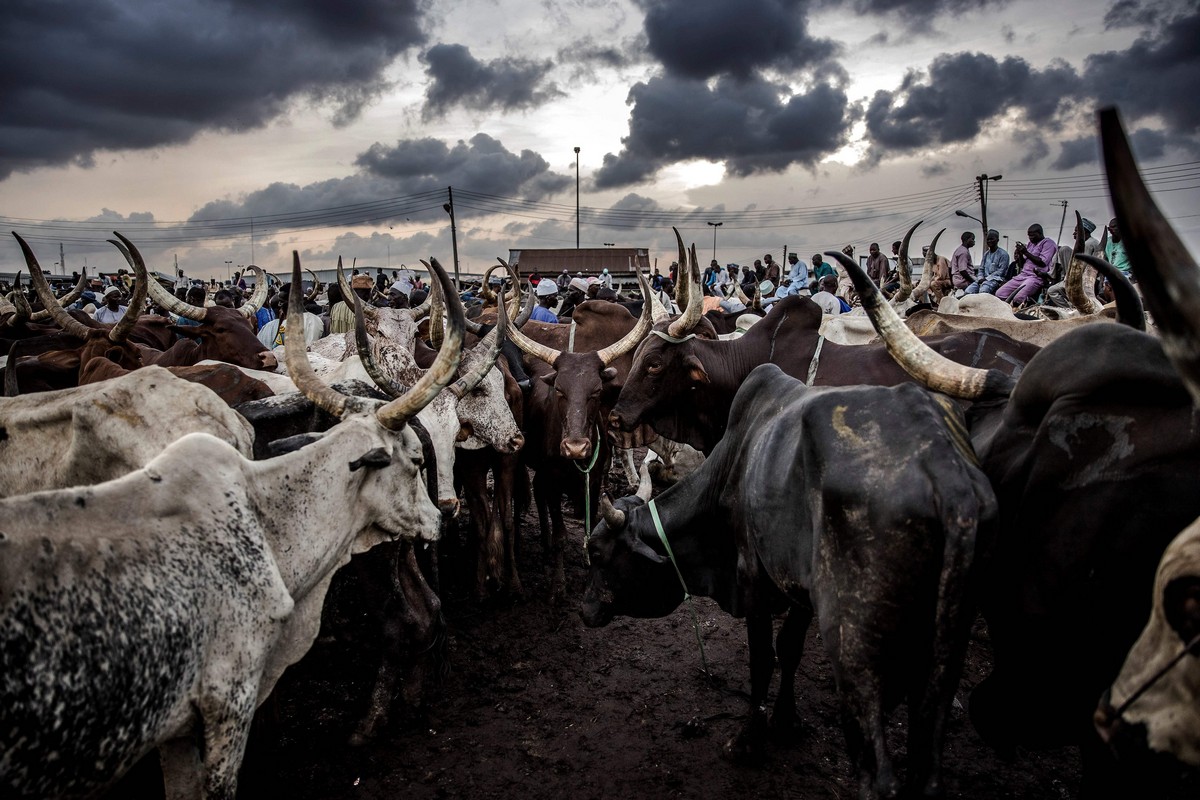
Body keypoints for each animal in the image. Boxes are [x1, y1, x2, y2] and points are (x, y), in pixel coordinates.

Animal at [580, 367, 993, 800]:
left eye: (598, 554)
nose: (585, 610)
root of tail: (949, 479)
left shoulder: (752, 581)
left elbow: (763, 660)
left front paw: (747, 742)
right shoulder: (798, 590)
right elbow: (790, 649)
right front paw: (787, 721)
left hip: (856, 646)